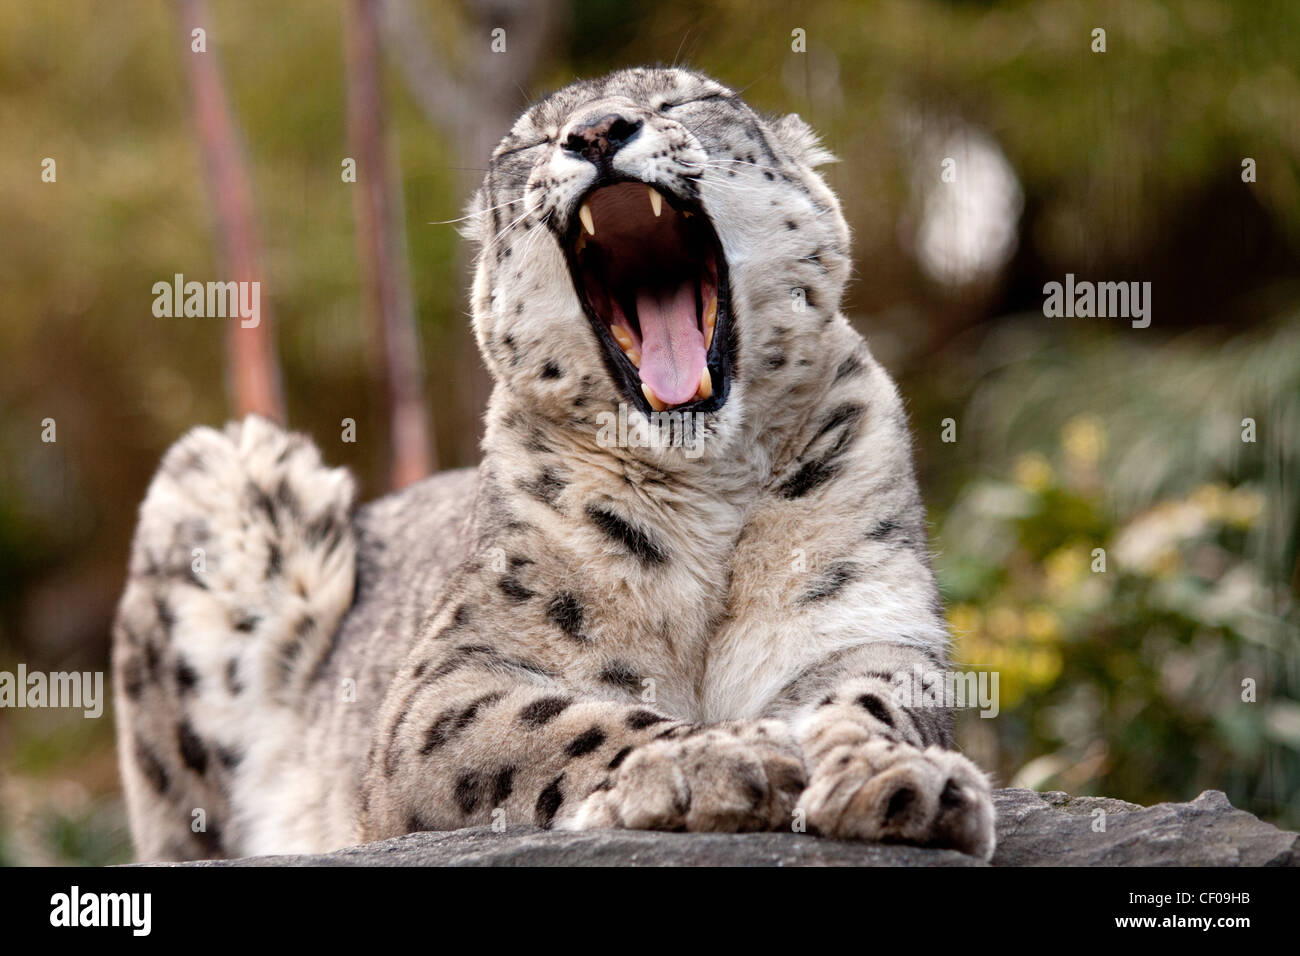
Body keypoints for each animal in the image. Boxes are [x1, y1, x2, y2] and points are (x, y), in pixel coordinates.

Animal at [111, 65, 993, 858]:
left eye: (686, 100)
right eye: (529, 143)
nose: (598, 131)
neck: (712, 493)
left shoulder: (866, 622)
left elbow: (878, 698)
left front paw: (902, 779)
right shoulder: (454, 678)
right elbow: (558, 721)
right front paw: (718, 755)